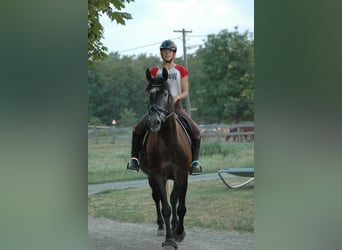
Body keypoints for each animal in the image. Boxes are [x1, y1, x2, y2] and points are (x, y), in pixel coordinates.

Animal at [139, 67, 192, 249]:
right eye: (149, 93)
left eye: (165, 94)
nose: (154, 121)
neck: (169, 141)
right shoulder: (158, 175)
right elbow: (167, 207)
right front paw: (169, 239)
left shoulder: (182, 174)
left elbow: (178, 204)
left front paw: (179, 232)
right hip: (151, 177)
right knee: (157, 198)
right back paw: (161, 226)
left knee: (176, 199)